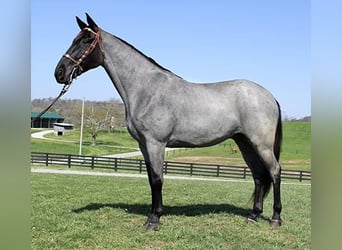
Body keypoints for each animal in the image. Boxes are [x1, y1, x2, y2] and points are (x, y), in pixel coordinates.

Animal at [54, 12, 284, 229]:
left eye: (85, 41)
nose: (60, 72)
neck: (146, 89)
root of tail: (270, 96)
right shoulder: (144, 145)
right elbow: (150, 179)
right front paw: (153, 214)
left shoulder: (156, 143)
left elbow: (157, 179)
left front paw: (154, 220)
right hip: (245, 143)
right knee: (258, 176)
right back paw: (253, 216)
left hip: (261, 145)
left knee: (274, 171)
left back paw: (275, 218)